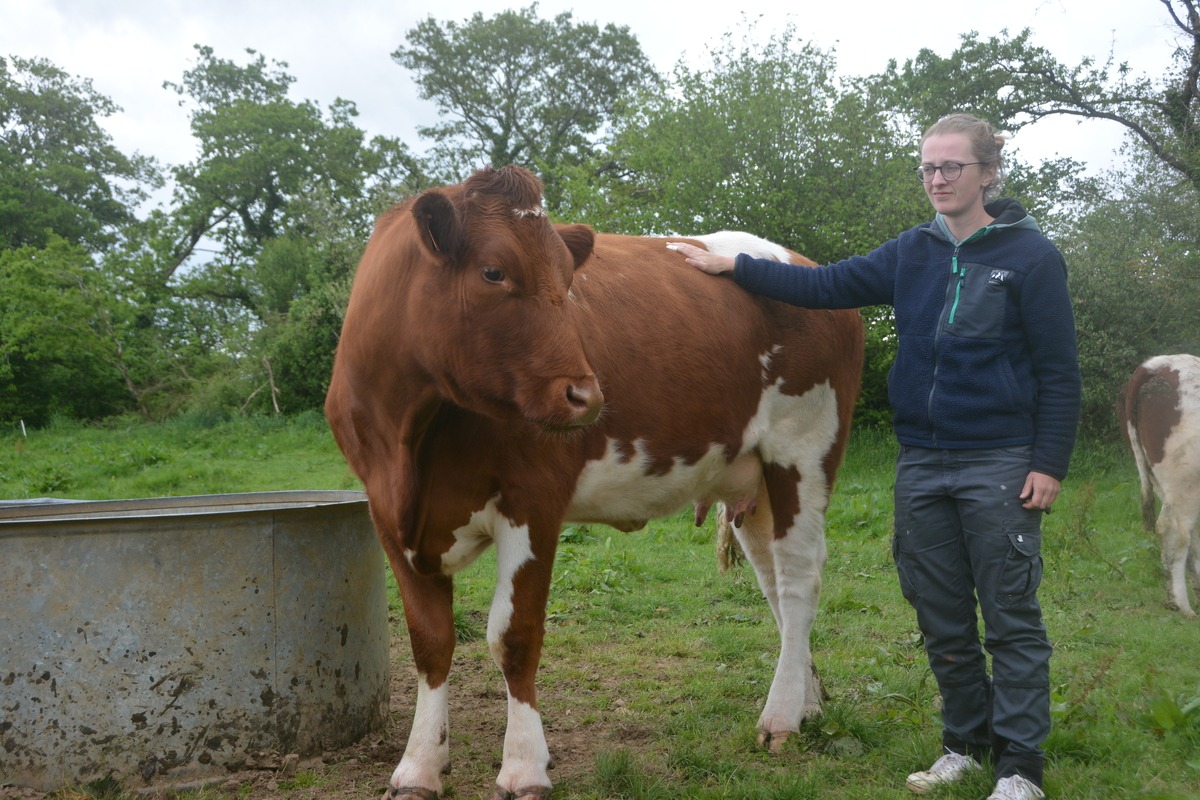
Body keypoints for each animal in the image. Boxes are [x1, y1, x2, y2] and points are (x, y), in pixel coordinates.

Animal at [324, 165, 864, 799]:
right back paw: (807, 701)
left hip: (804, 451)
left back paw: (781, 718)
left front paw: (524, 766)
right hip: (753, 482)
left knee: (800, 581)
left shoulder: (533, 499)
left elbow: (514, 636)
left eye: (567, 280)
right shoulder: (388, 515)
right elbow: (429, 641)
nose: (586, 394)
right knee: (774, 581)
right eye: (493, 270)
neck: (409, 439)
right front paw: (418, 767)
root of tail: (803, 263)